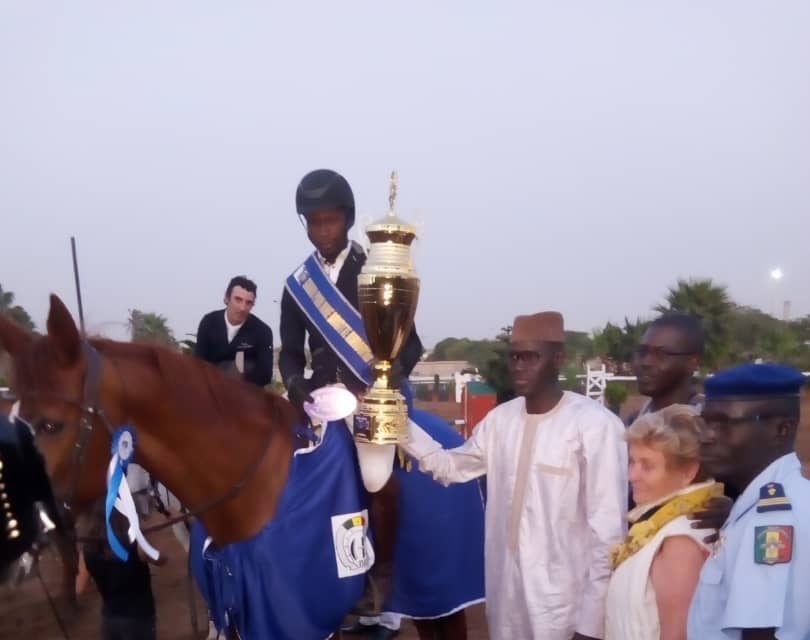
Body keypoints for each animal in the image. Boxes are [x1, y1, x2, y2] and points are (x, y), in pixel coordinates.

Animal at [0, 298, 468, 636]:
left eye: (51, 425)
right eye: (14, 421)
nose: (13, 533)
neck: (255, 485)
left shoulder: (296, 620)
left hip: (442, 596)